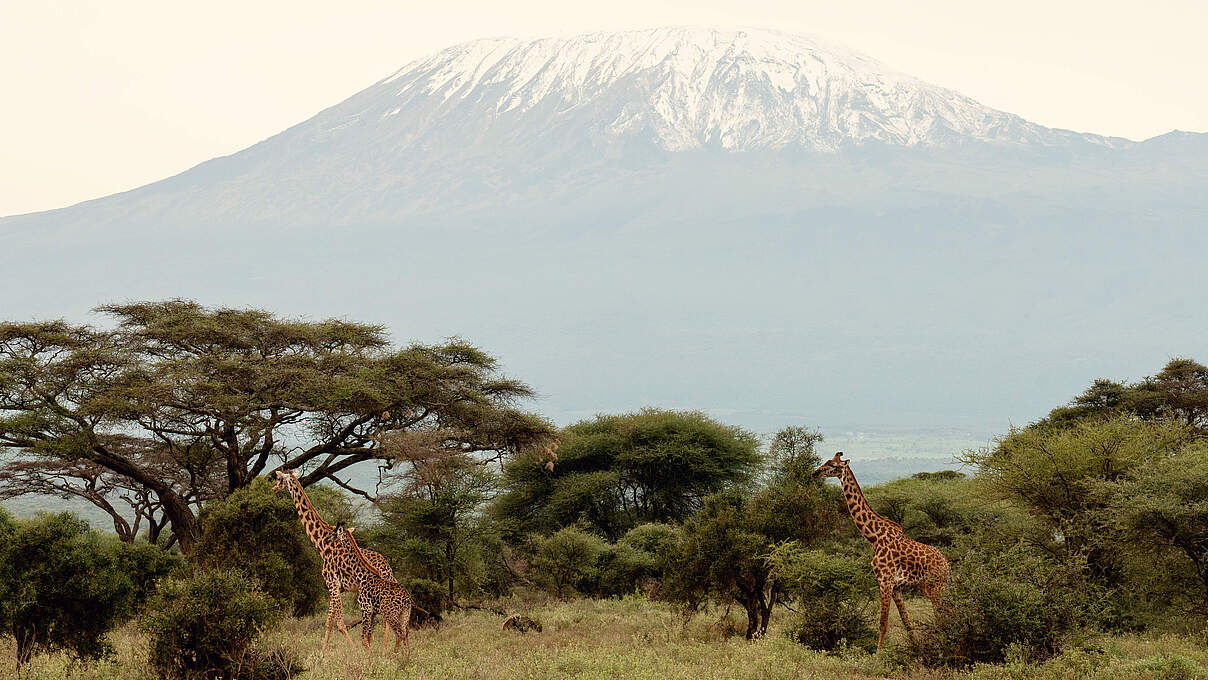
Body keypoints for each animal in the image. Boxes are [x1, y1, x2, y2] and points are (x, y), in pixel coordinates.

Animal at [271, 468, 397, 651]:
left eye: (279, 479)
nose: (273, 488)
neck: (322, 543)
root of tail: (388, 569)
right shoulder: (336, 587)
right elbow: (329, 621)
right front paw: (323, 651)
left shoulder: (332, 583)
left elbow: (339, 623)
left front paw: (353, 649)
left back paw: (384, 647)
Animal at [322, 522, 414, 657]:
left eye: (334, 533)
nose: (327, 539)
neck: (362, 574)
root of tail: (407, 599)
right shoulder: (372, 611)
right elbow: (369, 637)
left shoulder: (366, 608)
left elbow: (364, 639)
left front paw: (369, 657)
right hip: (405, 613)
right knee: (405, 633)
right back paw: (405, 657)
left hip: (390, 613)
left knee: (399, 633)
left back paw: (395, 656)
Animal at [812, 452, 949, 650]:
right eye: (827, 461)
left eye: (833, 464)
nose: (815, 472)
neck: (874, 538)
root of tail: (947, 566)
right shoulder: (896, 586)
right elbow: (906, 621)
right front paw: (915, 648)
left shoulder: (884, 580)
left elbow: (883, 622)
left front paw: (878, 654)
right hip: (934, 587)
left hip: (935, 587)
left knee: (943, 614)